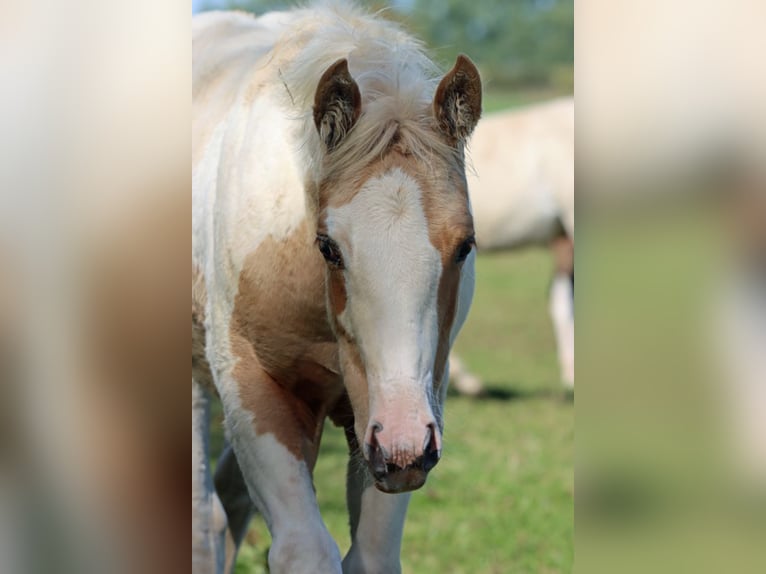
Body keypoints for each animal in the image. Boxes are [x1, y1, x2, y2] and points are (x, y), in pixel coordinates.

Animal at [192, 3, 482, 573]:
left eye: (465, 245)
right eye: (328, 247)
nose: (404, 446)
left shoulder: (410, 404)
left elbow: (370, 555)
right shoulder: (252, 387)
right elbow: (304, 549)